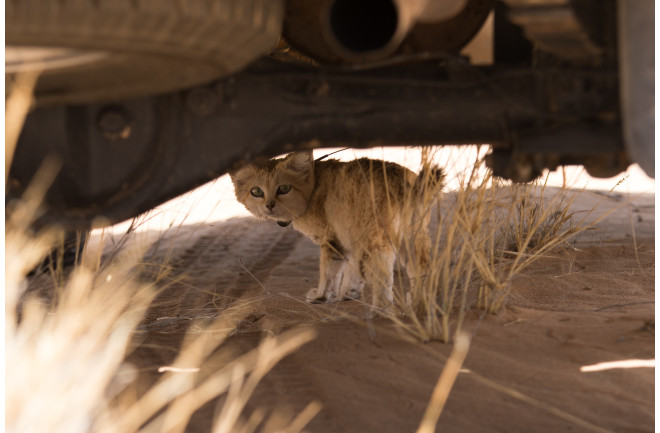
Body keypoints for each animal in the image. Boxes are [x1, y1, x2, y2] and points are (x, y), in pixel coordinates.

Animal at [231, 151, 444, 308]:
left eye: (284, 188)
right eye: (256, 191)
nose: (269, 205)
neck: (314, 186)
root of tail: (403, 181)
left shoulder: (333, 240)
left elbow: (328, 273)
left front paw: (321, 296)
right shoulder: (351, 236)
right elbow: (352, 271)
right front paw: (349, 293)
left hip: (376, 239)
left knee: (383, 273)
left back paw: (381, 309)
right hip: (412, 239)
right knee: (423, 270)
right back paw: (419, 305)